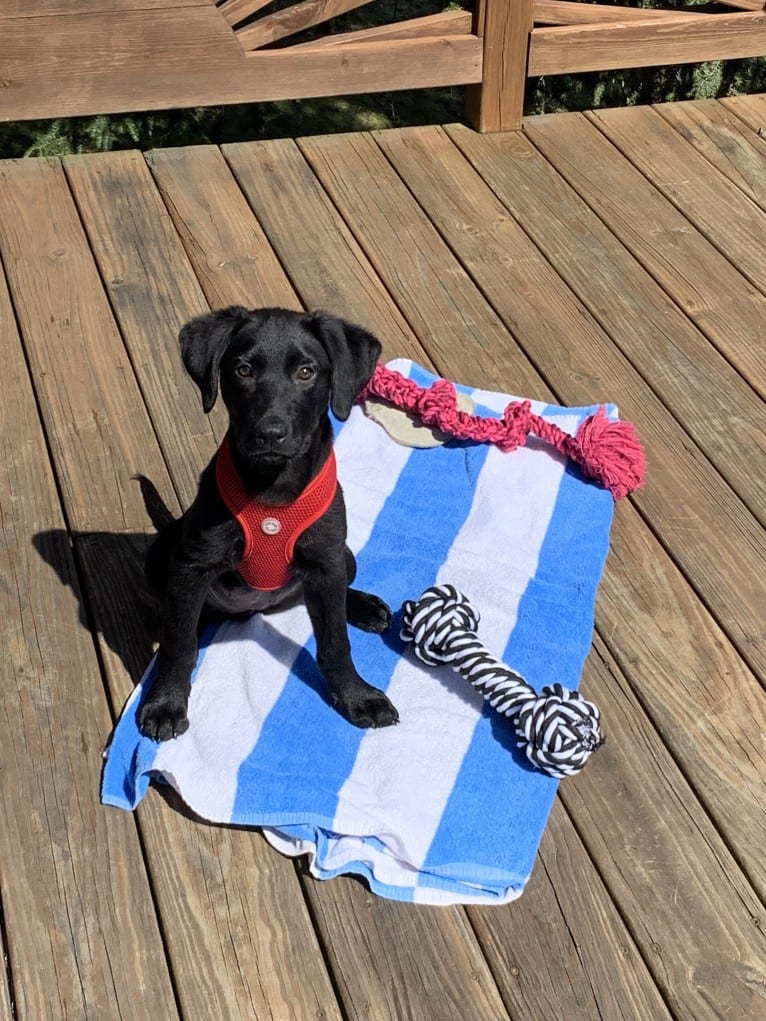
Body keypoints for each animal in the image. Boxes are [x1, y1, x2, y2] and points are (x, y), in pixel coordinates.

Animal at [136, 302, 398, 743]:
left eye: (307, 372)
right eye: (243, 370)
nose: (270, 433)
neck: (273, 492)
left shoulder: (325, 561)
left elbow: (335, 640)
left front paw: (357, 696)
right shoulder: (192, 566)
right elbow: (179, 643)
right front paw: (166, 703)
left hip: (344, 555)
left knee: (335, 593)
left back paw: (363, 606)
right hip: (160, 559)